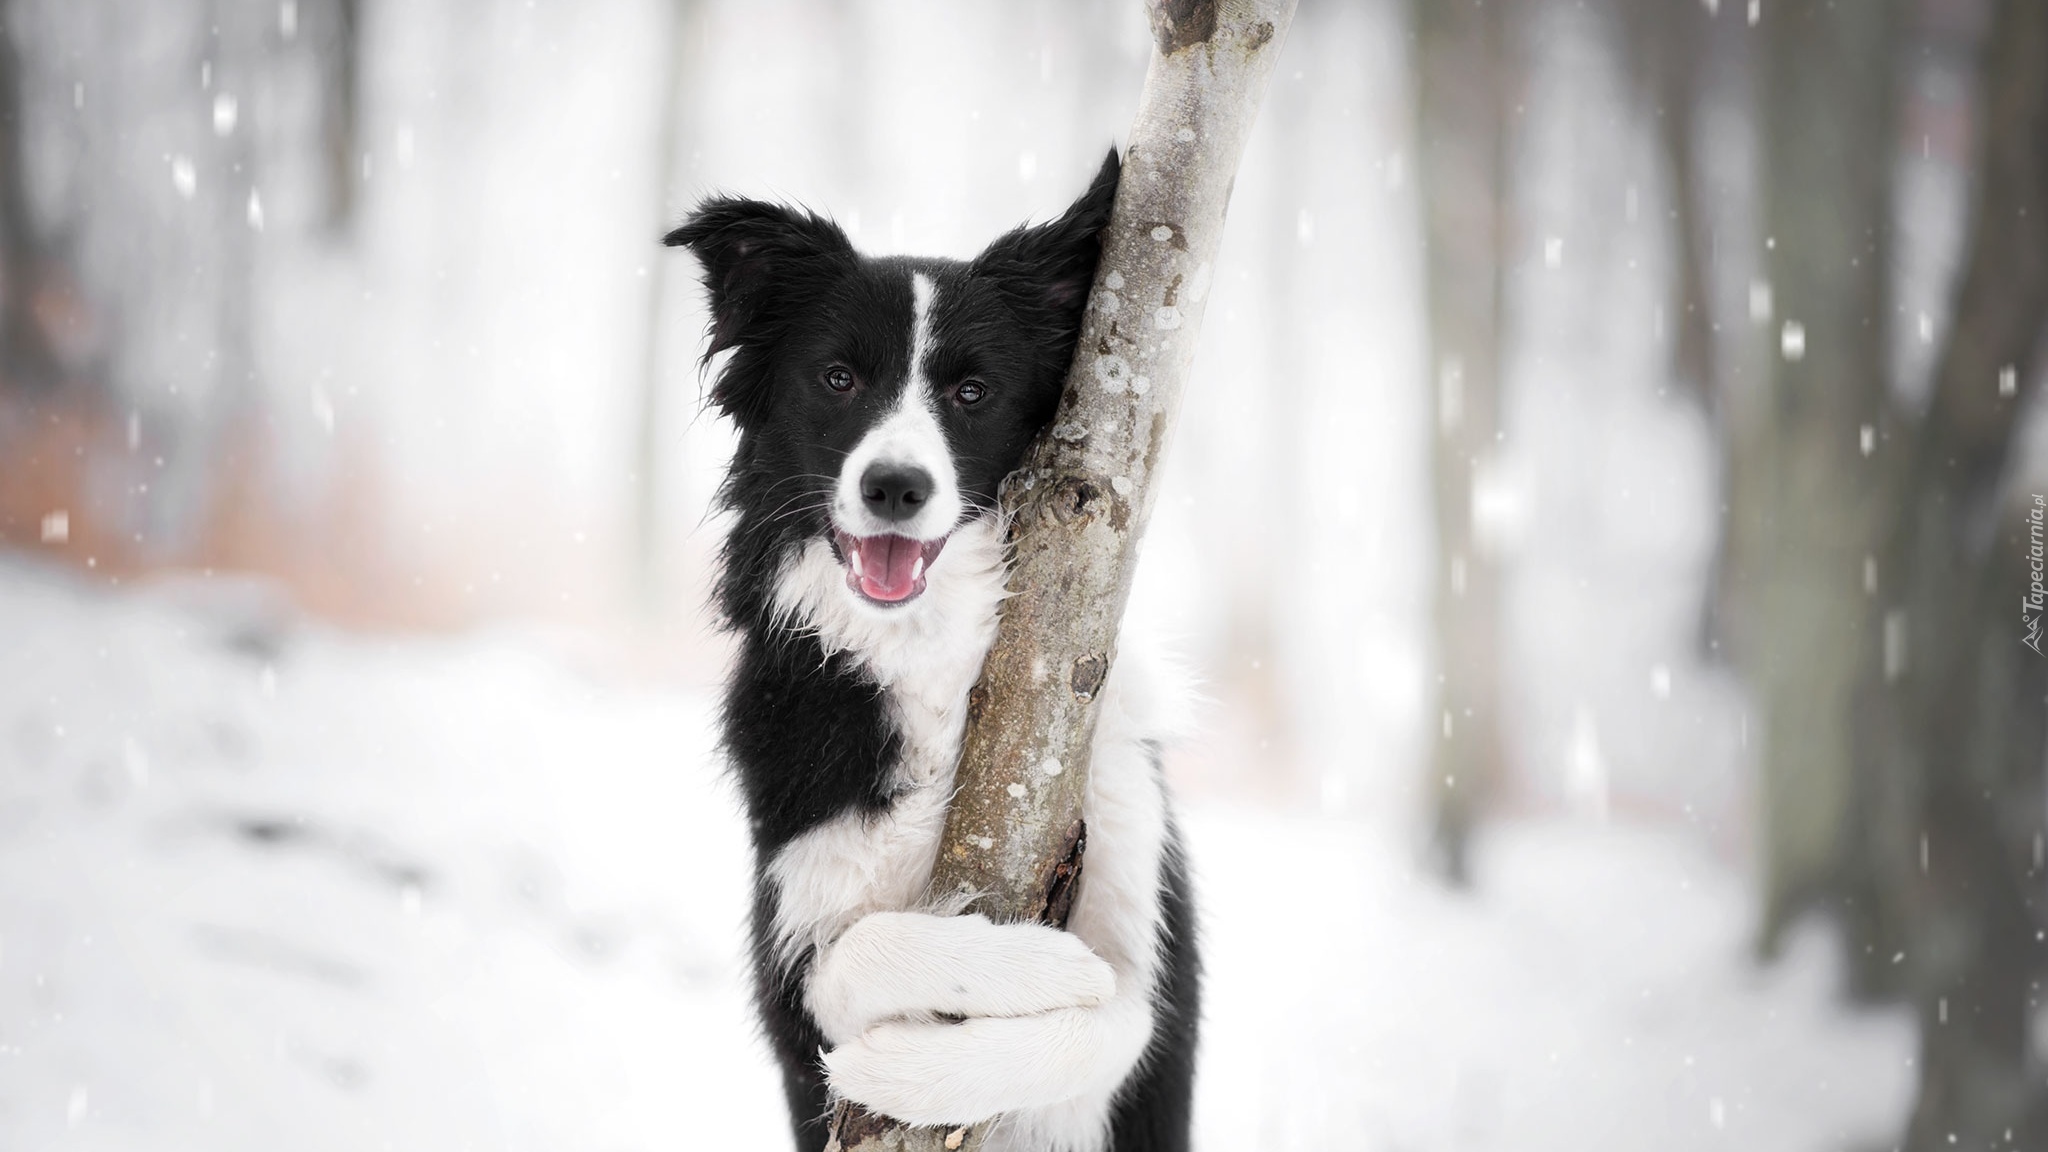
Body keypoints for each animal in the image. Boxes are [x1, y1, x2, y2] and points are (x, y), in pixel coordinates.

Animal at [663, 152, 1196, 1147]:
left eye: (972, 393)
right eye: (837, 378)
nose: (895, 486)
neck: (930, 648)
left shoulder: (1143, 931)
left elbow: (1115, 1013)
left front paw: (938, 1058)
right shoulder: (792, 928)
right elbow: (852, 958)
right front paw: (1015, 980)